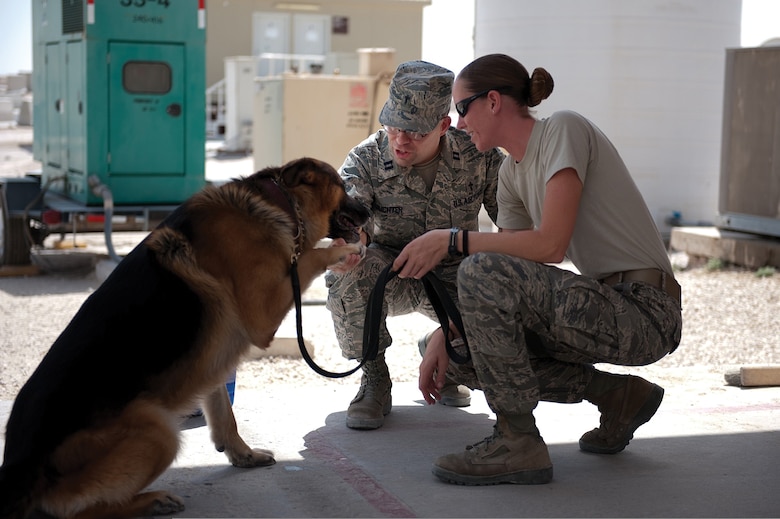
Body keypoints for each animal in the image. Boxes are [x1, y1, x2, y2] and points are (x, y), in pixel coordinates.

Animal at [0, 158, 370, 519]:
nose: (369, 209)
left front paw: (243, 455)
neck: (278, 203)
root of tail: (17, 472)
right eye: (342, 183)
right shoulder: (264, 315)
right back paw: (153, 501)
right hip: (159, 430)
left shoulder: (214, 363)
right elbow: (310, 256)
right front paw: (342, 251)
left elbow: (224, 414)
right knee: (75, 511)